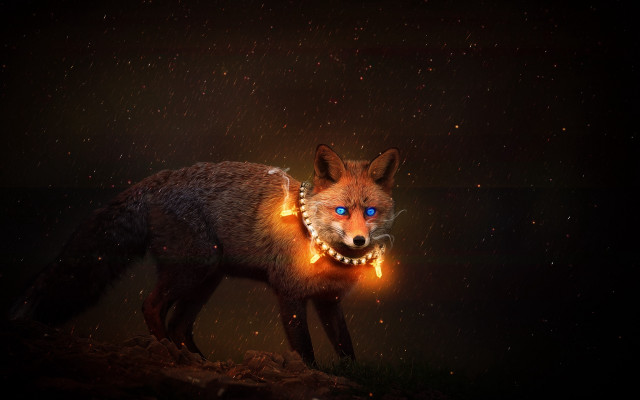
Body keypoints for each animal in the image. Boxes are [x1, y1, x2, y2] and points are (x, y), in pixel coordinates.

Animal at [10, 144, 400, 364]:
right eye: (340, 211)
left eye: (370, 212)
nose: (359, 242)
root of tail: (159, 179)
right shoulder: (288, 293)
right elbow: (305, 353)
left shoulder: (328, 301)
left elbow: (346, 350)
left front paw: (351, 381)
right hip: (195, 268)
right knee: (152, 307)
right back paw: (171, 355)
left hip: (208, 279)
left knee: (179, 324)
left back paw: (198, 360)